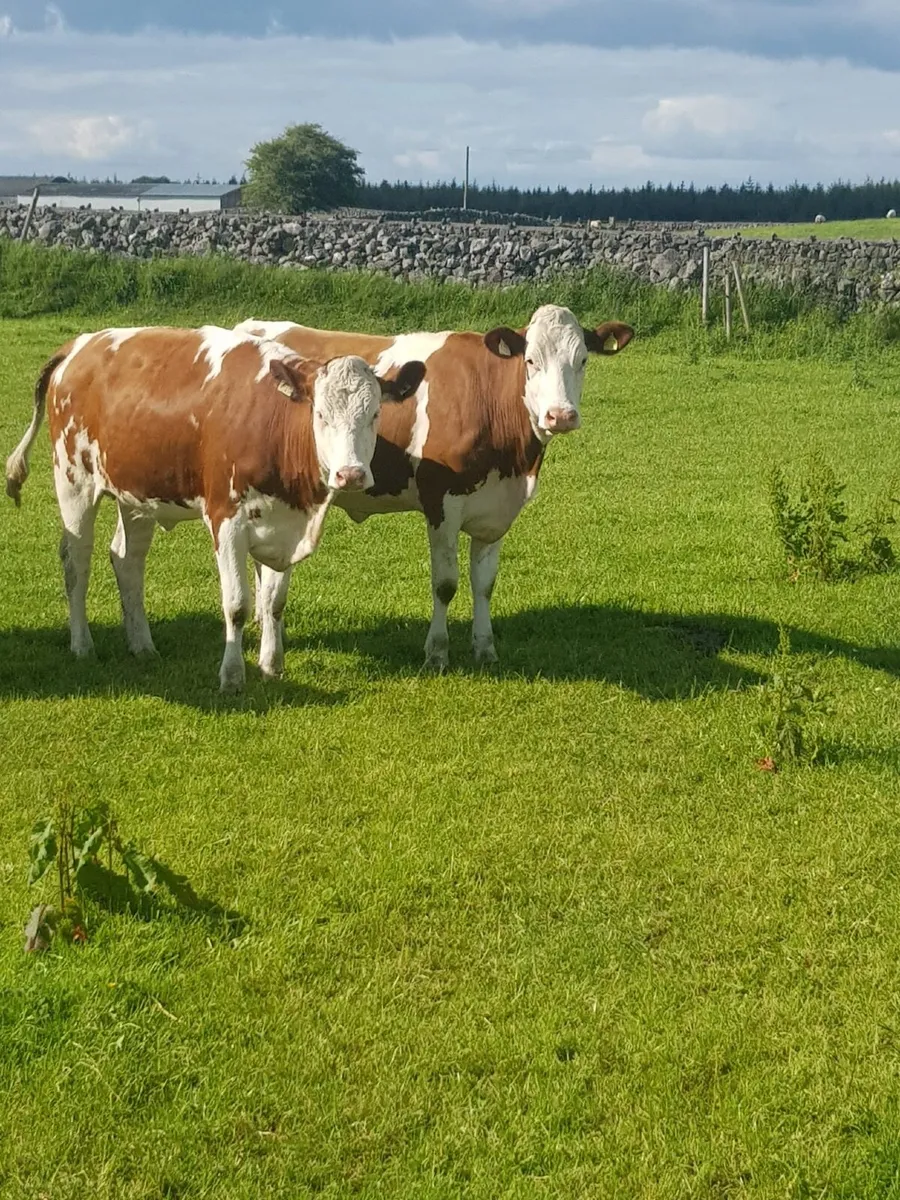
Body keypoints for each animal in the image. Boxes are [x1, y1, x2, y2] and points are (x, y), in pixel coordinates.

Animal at [5, 326, 425, 691]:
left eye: (375, 415)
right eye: (320, 415)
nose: (350, 474)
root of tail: (81, 343)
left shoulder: (284, 522)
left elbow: (274, 602)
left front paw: (271, 666)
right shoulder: (226, 520)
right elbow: (237, 605)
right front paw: (233, 676)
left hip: (134, 493)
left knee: (127, 560)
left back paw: (142, 645)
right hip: (73, 479)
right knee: (77, 562)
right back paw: (82, 645)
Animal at [235, 306, 634, 669]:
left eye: (583, 360)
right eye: (531, 360)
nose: (561, 416)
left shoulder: (497, 508)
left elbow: (485, 583)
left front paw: (485, 648)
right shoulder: (441, 502)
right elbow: (445, 584)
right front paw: (437, 652)